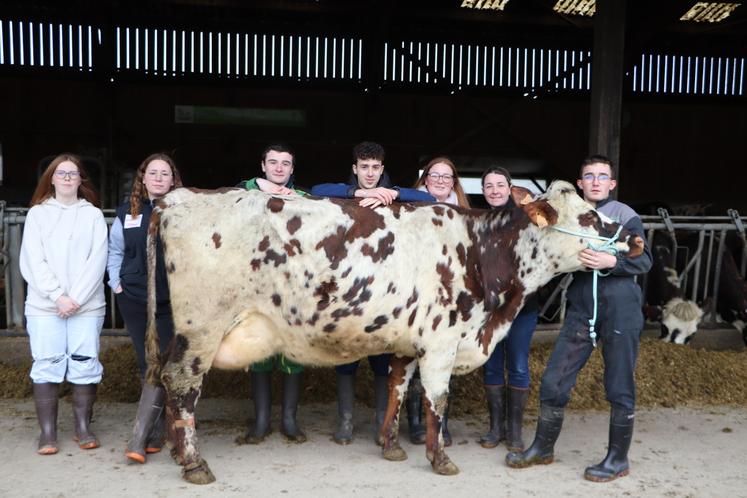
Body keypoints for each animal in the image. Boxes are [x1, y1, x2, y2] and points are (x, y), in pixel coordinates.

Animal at [143, 181, 644, 484]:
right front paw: (440, 459)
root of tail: (178, 197)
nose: (634, 237)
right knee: (181, 382)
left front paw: (390, 445)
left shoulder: (409, 341)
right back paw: (194, 462)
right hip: (203, 327)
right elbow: (437, 399)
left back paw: (176, 451)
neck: (482, 256)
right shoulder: (442, 343)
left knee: (166, 378)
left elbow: (398, 388)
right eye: (587, 216)